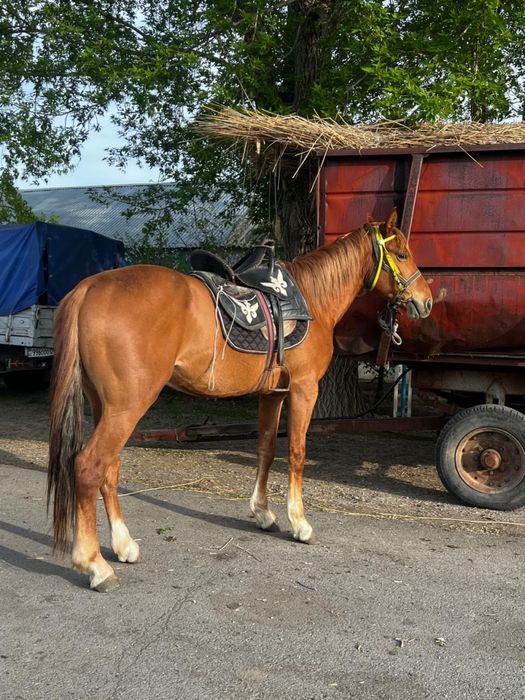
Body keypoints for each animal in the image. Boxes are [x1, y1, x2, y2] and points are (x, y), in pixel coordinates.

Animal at [47, 208, 432, 591]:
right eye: (401, 254)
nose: (426, 300)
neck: (312, 298)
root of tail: (88, 288)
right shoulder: (304, 389)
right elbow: (296, 452)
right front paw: (299, 522)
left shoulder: (272, 394)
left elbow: (266, 449)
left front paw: (263, 512)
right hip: (127, 407)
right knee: (89, 466)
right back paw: (94, 564)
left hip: (105, 406)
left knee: (109, 468)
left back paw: (124, 545)